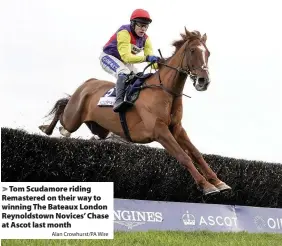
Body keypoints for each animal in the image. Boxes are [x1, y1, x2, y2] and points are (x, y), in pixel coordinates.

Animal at [39, 27, 231, 196]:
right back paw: (47, 129)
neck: (166, 91)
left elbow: (196, 154)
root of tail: (89, 82)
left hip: (99, 128)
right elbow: (183, 156)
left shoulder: (176, 128)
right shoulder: (159, 131)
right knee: (63, 111)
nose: (203, 81)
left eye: (208, 53)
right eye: (192, 51)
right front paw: (207, 186)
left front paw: (219, 182)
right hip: (73, 118)